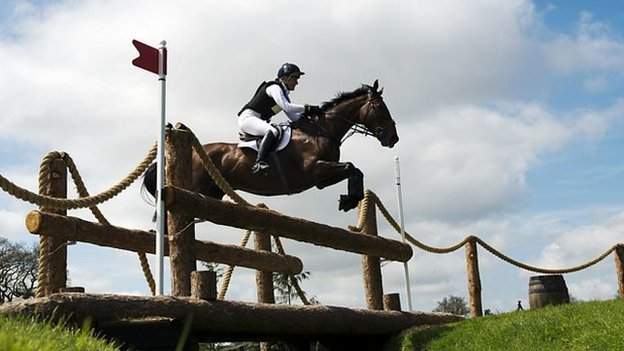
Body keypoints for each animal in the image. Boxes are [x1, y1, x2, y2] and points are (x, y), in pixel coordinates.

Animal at [143, 80, 398, 212]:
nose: (393, 138)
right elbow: (352, 167)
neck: (321, 131)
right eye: (379, 107)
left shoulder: (321, 180)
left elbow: (354, 169)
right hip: (195, 188)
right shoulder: (315, 170)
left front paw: (349, 199)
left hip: (212, 192)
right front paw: (350, 200)